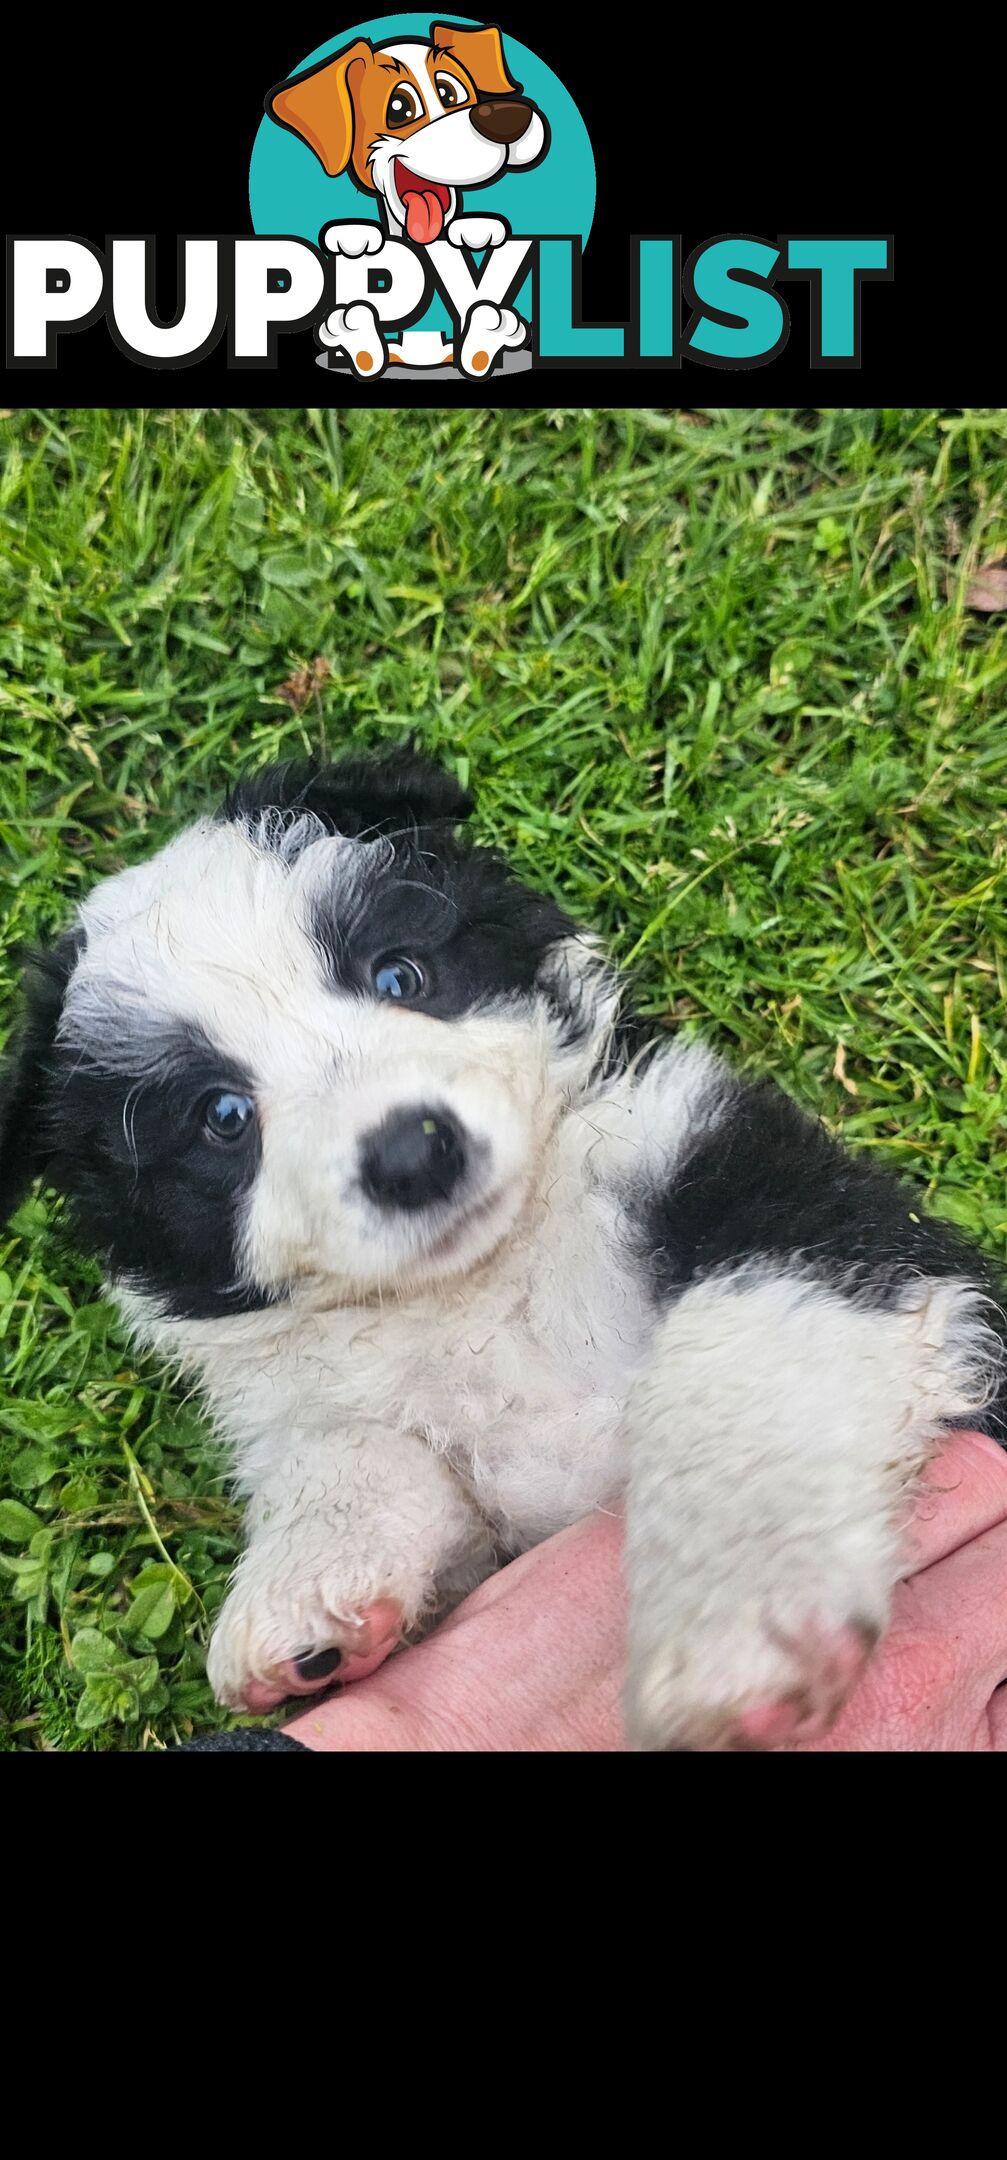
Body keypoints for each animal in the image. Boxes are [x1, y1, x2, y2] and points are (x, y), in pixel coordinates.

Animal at [1, 751, 1007, 1745]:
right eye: (221, 1117)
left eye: (398, 976)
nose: (411, 1153)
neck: (479, 1283)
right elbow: (342, 1446)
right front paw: (304, 1595)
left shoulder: (785, 1201)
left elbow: (743, 1362)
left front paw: (733, 1631)